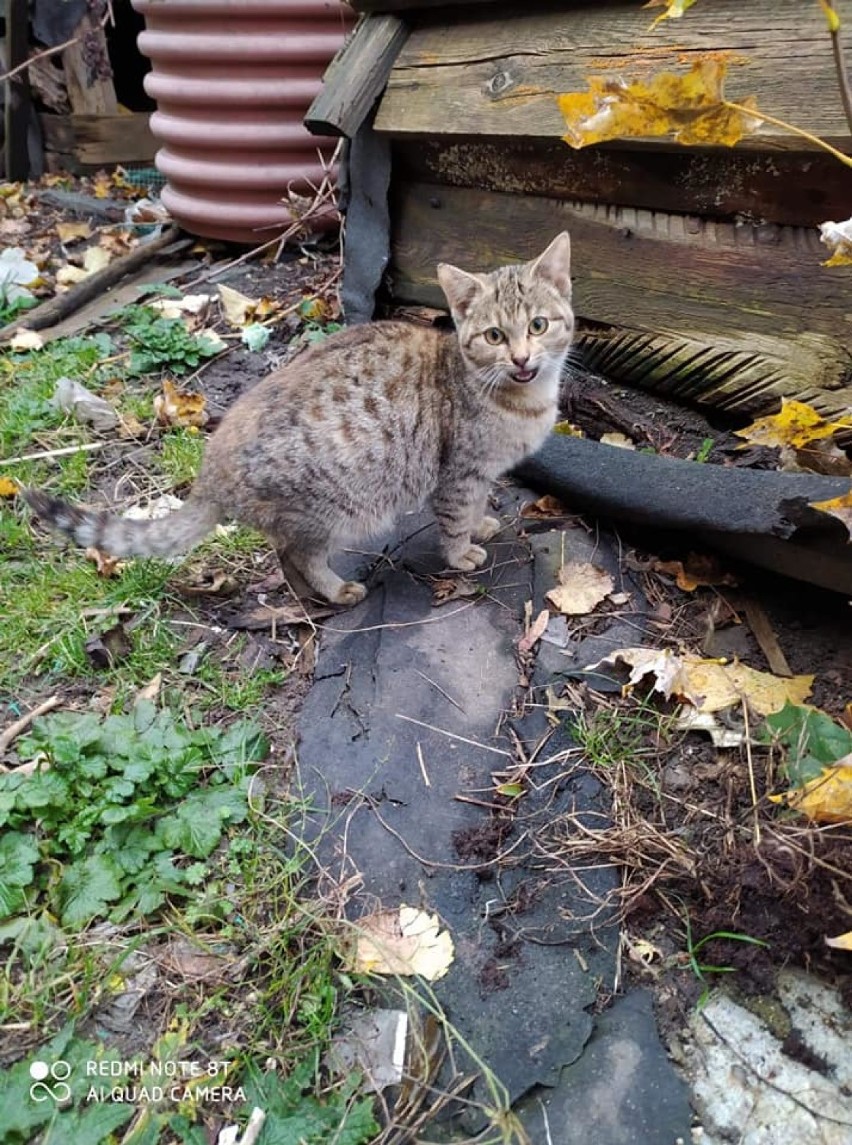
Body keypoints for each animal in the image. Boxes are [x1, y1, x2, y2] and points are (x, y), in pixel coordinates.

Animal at [23, 233, 574, 609]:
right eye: (494, 336)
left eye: (538, 325)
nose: (522, 358)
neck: (520, 396)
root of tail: (210, 473)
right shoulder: (459, 472)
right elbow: (455, 519)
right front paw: (461, 554)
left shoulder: (480, 473)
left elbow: (476, 507)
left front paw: (482, 525)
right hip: (327, 511)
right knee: (298, 556)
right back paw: (336, 589)